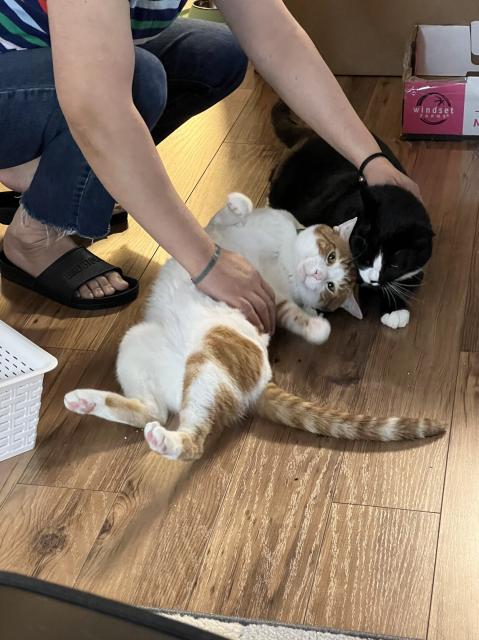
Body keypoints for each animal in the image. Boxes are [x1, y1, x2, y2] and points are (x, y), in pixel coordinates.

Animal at [64, 192, 446, 458]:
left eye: (331, 286)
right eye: (331, 256)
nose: (316, 274)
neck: (284, 259)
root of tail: (261, 383)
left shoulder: (269, 299)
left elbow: (296, 314)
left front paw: (318, 326)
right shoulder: (222, 238)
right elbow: (234, 211)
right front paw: (238, 203)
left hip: (209, 362)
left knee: (191, 439)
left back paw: (166, 440)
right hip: (135, 344)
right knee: (149, 411)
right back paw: (85, 401)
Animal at [270, 101, 436, 330]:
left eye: (394, 264)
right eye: (362, 246)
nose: (372, 279)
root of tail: (310, 133)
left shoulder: (416, 265)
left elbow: (408, 279)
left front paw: (394, 307)